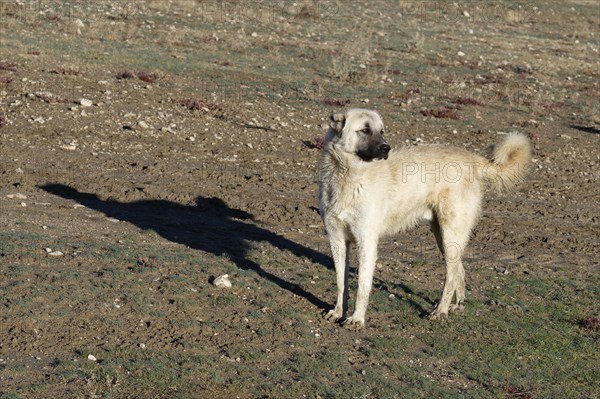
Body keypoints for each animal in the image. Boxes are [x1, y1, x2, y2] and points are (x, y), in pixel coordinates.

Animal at [318, 108, 528, 328]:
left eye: (381, 131)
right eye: (364, 130)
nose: (386, 148)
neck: (347, 176)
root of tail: (470, 157)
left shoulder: (366, 242)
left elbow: (362, 286)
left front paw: (357, 319)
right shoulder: (337, 240)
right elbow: (341, 282)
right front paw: (338, 312)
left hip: (450, 235)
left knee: (451, 275)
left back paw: (441, 311)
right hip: (442, 236)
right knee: (459, 270)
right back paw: (457, 305)